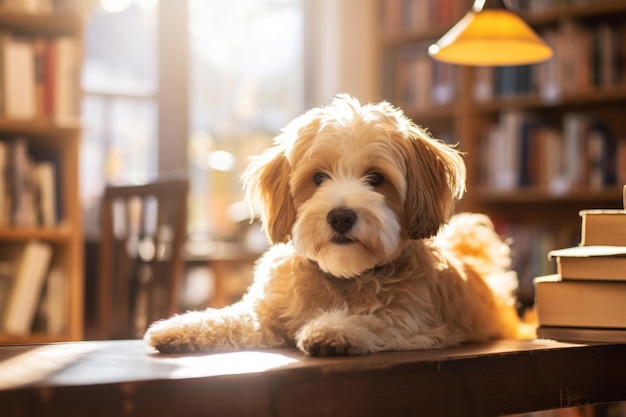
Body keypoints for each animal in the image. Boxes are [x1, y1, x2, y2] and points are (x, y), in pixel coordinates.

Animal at [144, 94, 528, 354]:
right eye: (319, 177)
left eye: (376, 178)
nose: (341, 216)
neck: (342, 276)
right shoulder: (265, 314)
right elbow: (229, 317)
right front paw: (180, 327)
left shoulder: (414, 324)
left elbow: (372, 320)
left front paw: (332, 329)